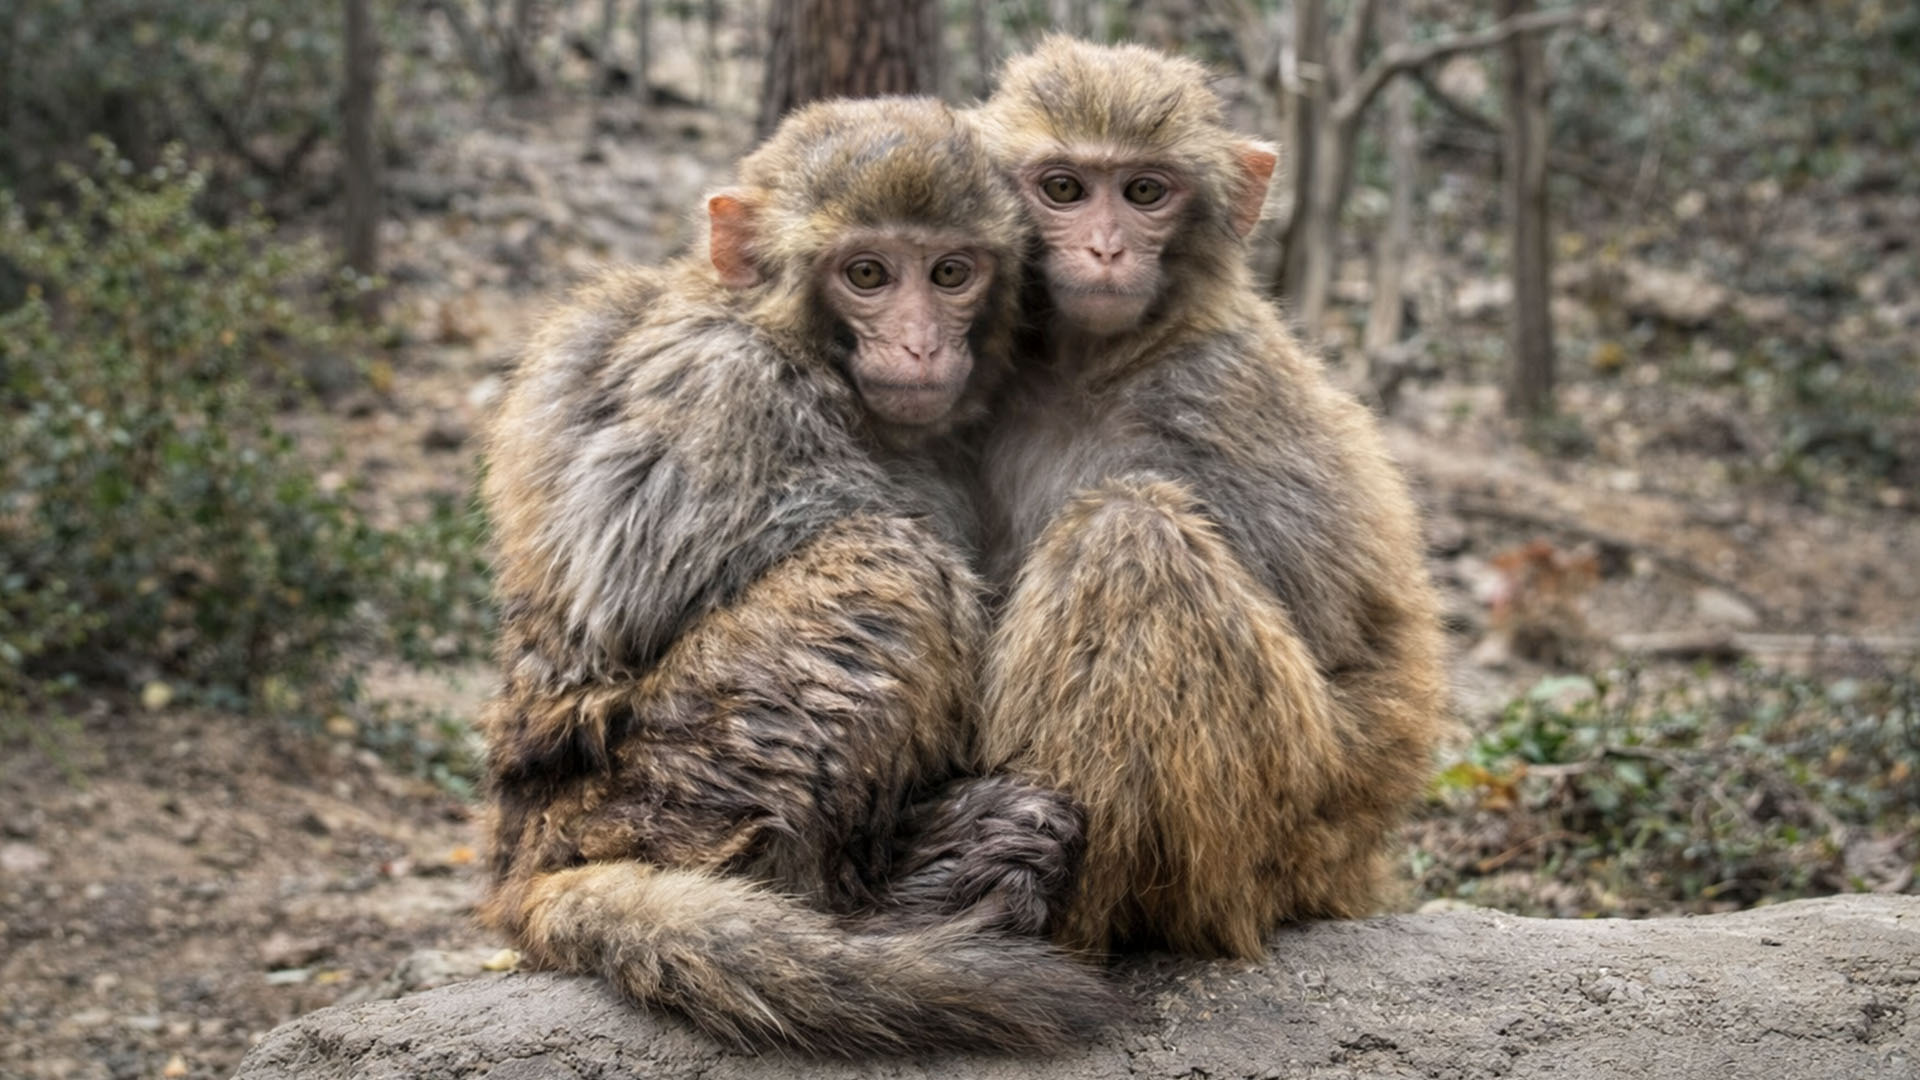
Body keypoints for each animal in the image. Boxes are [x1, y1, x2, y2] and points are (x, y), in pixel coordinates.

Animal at [475, 96, 1114, 1056]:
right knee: (887, 560)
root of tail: (522, 847)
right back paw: (899, 896)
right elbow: (638, 591)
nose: (920, 344)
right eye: (867, 274)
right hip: (660, 795)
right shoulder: (730, 393)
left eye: (951, 272)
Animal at [967, 37, 1451, 959]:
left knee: (1129, 536)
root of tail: (1359, 861)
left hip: (1285, 822)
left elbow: (1327, 633)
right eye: (1064, 189)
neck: (1091, 368)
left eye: (1145, 193)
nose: (1107, 250)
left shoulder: (1218, 397)